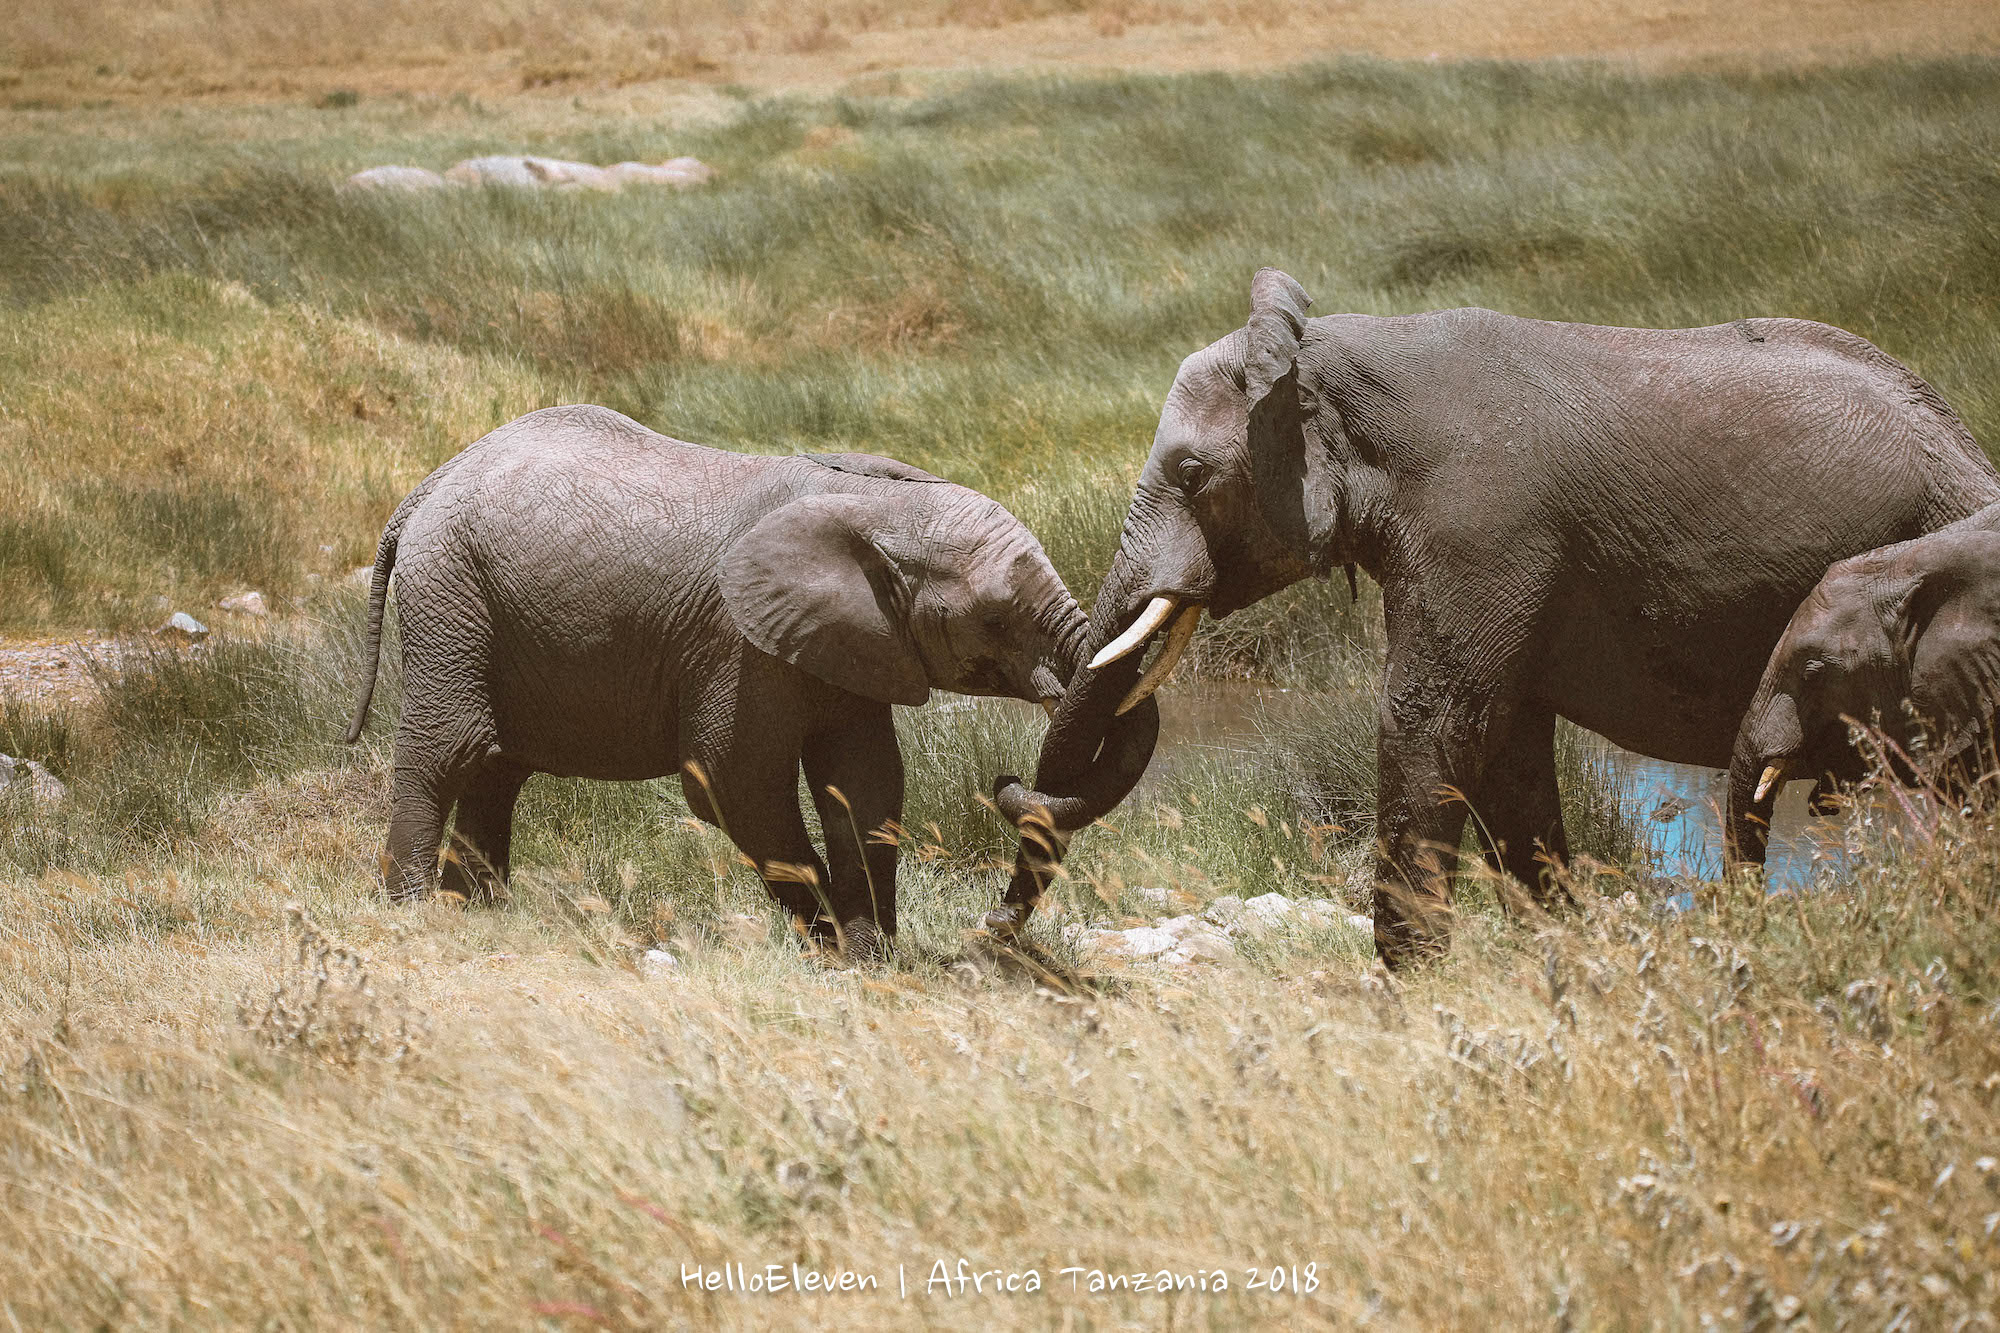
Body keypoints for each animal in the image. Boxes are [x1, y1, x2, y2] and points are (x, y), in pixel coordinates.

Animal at [344, 404, 1160, 944]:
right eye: (994, 619)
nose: (994, 922)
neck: (879, 503)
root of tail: (423, 489)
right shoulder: (735, 642)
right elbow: (734, 784)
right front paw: (835, 945)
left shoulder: (854, 640)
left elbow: (863, 784)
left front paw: (874, 954)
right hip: (450, 594)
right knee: (453, 750)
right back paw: (414, 913)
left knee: (497, 767)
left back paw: (479, 914)